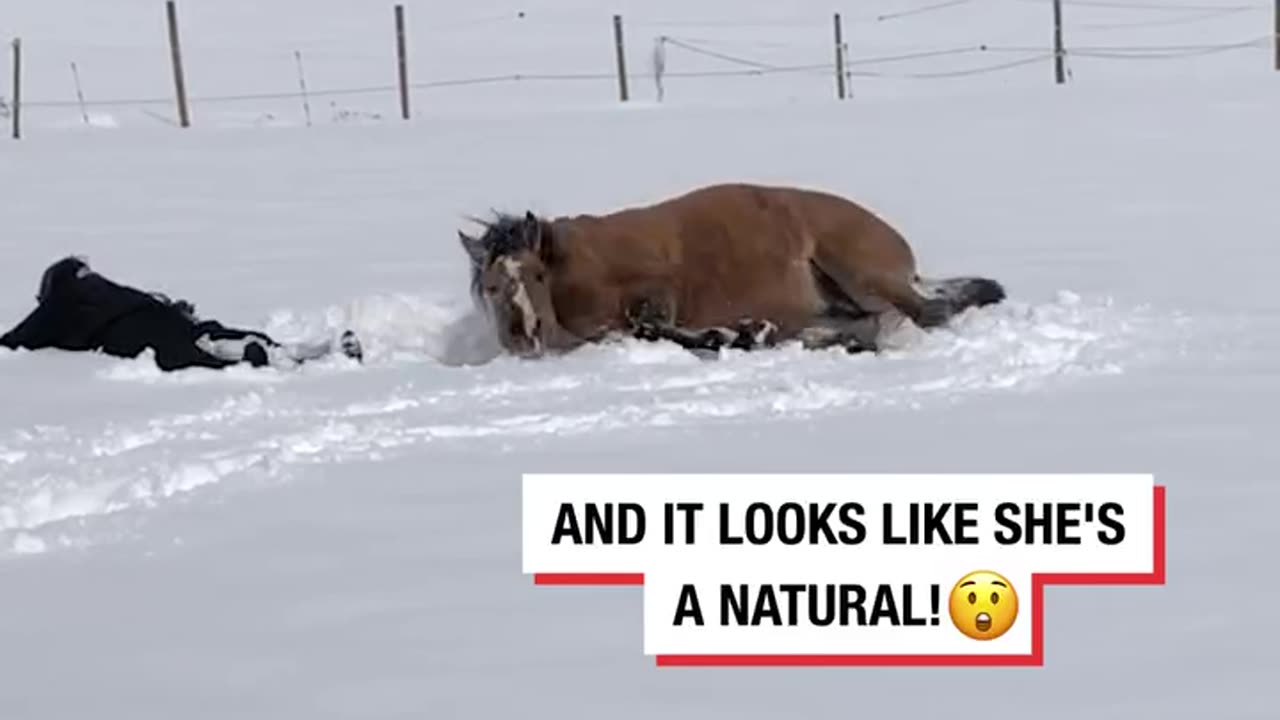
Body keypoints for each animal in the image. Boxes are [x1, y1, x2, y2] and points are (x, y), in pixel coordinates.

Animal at [455, 180, 1003, 356]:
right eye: (491, 286)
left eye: (535, 277)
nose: (523, 336)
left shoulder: (658, 289)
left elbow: (650, 325)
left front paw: (730, 334)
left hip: (860, 272)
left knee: (926, 313)